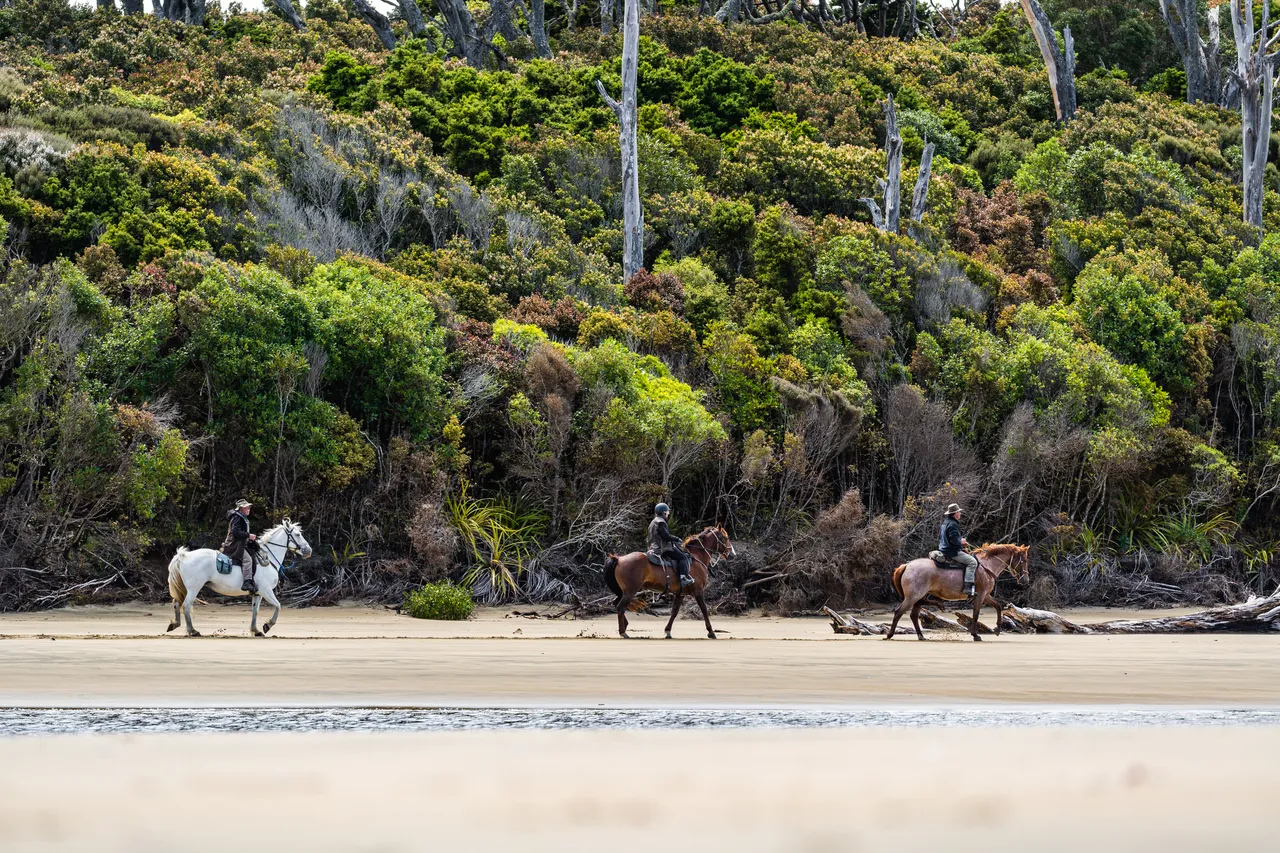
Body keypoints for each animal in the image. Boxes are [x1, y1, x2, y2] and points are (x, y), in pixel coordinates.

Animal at [165, 519, 313, 637]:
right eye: (298, 534)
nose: (309, 551)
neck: (268, 558)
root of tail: (183, 556)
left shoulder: (258, 593)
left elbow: (255, 610)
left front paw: (256, 630)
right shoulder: (266, 590)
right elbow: (278, 605)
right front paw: (268, 625)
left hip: (186, 588)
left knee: (177, 604)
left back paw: (174, 624)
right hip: (194, 588)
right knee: (186, 605)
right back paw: (193, 631)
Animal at [603, 526, 736, 639]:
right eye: (725, 537)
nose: (732, 553)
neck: (697, 557)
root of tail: (619, 559)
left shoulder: (680, 594)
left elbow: (674, 612)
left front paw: (667, 631)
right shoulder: (698, 591)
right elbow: (704, 610)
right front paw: (711, 632)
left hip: (623, 592)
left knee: (616, 604)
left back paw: (625, 626)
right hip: (630, 591)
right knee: (621, 607)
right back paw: (623, 632)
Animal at [885, 543, 1030, 642]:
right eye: (1023, 561)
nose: (1026, 580)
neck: (986, 566)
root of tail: (907, 565)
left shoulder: (986, 595)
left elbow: (998, 606)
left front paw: (997, 629)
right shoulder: (981, 595)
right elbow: (976, 614)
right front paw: (975, 635)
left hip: (918, 597)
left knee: (914, 615)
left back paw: (921, 635)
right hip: (913, 596)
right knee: (899, 612)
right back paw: (889, 634)